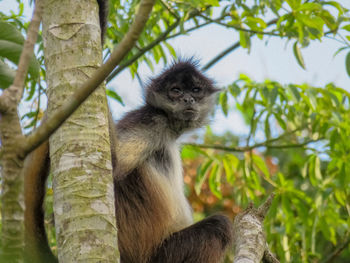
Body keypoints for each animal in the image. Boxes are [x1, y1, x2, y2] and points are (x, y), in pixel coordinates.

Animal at [23, 1, 232, 262]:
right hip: (164, 255)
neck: (169, 127)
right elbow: (113, 164)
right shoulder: (149, 122)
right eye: (175, 91)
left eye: (196, 90)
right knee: (219, 226)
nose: (187, 99)